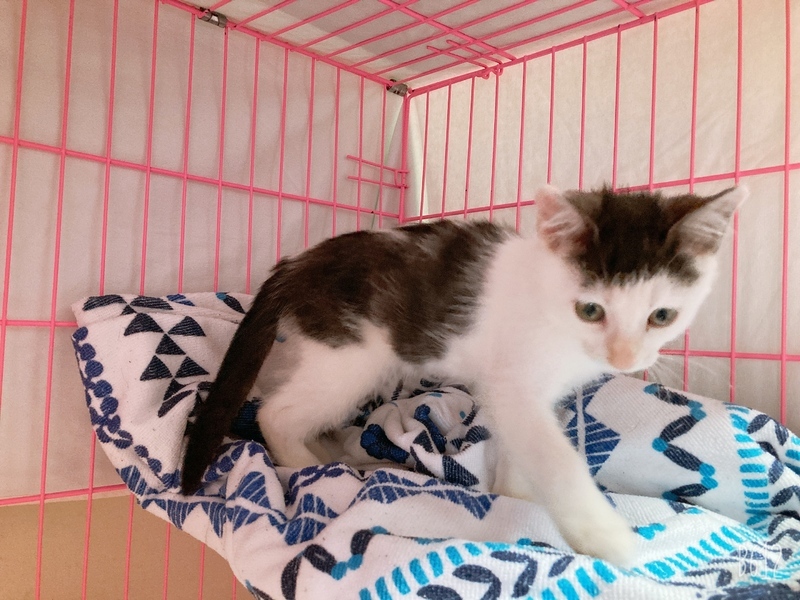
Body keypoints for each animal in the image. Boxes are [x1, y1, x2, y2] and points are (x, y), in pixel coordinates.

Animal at [180, 184, 746, 565]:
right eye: (590, 310)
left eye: (662, 316)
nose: (625, 358)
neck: (549, 304)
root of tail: (295, 264)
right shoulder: (515, 384)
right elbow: (556, 461)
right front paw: (608, 539)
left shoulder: (525, 395)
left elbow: (522, 450)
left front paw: (513, 496)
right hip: (352, 356)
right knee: (277, 412)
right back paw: (305, 465)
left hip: (320, 351)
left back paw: (330, 451)